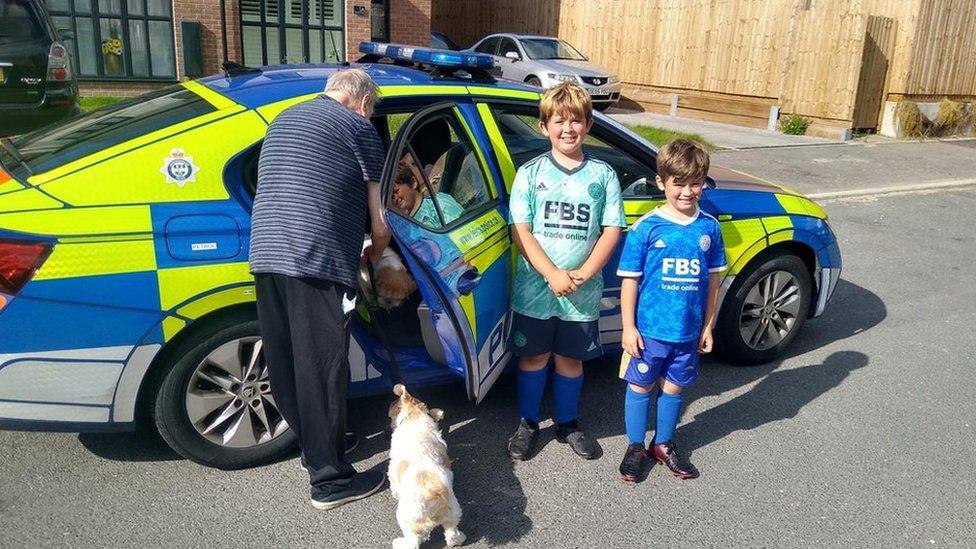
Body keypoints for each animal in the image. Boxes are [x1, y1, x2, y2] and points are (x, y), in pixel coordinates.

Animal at [388, 384, 466, 544]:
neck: (414, 416)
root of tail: (434, 492)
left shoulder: (392, 468)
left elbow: (393, 482)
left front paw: (394, 493)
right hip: (452, 513)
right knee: (451, 533)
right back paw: (459, 539)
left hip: (406, 518)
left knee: (413, 541)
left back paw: (400, 543)